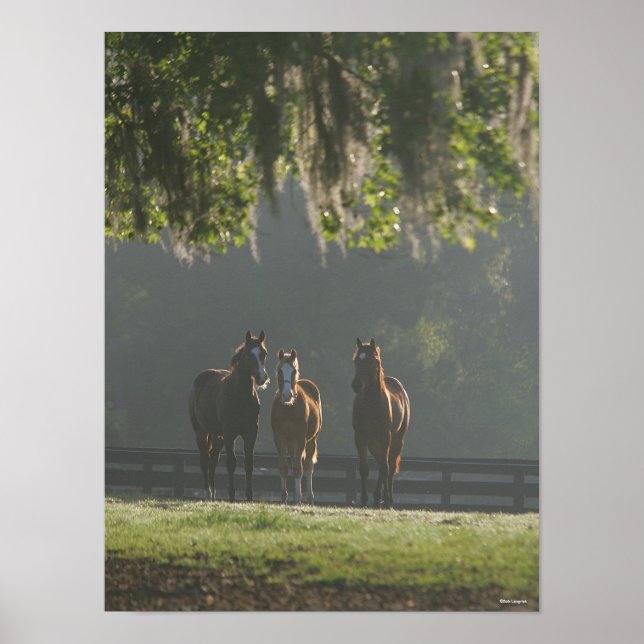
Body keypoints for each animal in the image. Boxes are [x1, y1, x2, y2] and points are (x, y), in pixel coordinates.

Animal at [188, 330, 270, 501]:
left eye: (264, 353)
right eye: (248, 355)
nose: (262, 377)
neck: (239, 396)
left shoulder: (251, 433)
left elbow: (249, 463)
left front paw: (249, 496)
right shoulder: (230, 433)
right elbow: (231, 463)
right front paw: (232, 496)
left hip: (218, 436)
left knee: (213, 461)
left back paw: (213, 494)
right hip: (201, 432)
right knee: (204, 460)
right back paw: (207, 493)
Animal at [270, 348, 323, 504]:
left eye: (294, 371)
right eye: (279, 371)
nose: (287, 395)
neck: (289, 408)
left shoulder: (300, 439)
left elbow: (299, 468)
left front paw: (298, 498)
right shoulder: (279, 438)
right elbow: (283, 467)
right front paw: (284, 497)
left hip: (311, 441)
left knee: (308, 466)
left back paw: (309, 497)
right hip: (290, 443)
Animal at [351, 337, 410, 508]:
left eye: (373, 360)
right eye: (356, 360)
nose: (356, 385)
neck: (372, 405)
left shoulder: (385, 438)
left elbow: (385, 468)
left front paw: (382, 499)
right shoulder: (360, 437)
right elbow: (364, 469)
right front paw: (364, 499)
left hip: (396, 441)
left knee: (389, 468)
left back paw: (387, 499)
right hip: (374, 443)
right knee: (381, 463)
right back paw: (379, 497)